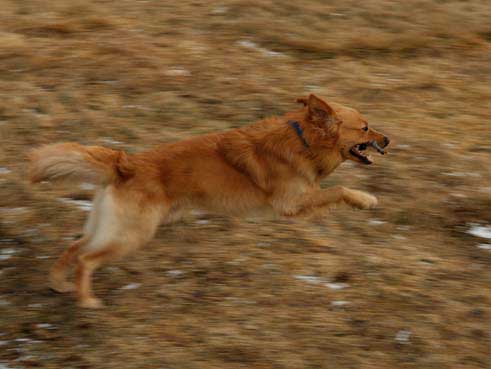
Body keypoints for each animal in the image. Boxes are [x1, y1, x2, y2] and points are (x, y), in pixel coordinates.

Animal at [29, 93, 392, 306]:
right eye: (364, 128)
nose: (388, 139)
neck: (304, 140)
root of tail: (124, 164)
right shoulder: (291, 202)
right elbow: (339, 190)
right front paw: (365, 199)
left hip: (109, 227)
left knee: (74, 248)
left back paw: (58, 284)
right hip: (132, 235)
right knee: (86, 259)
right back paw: (87, 301)